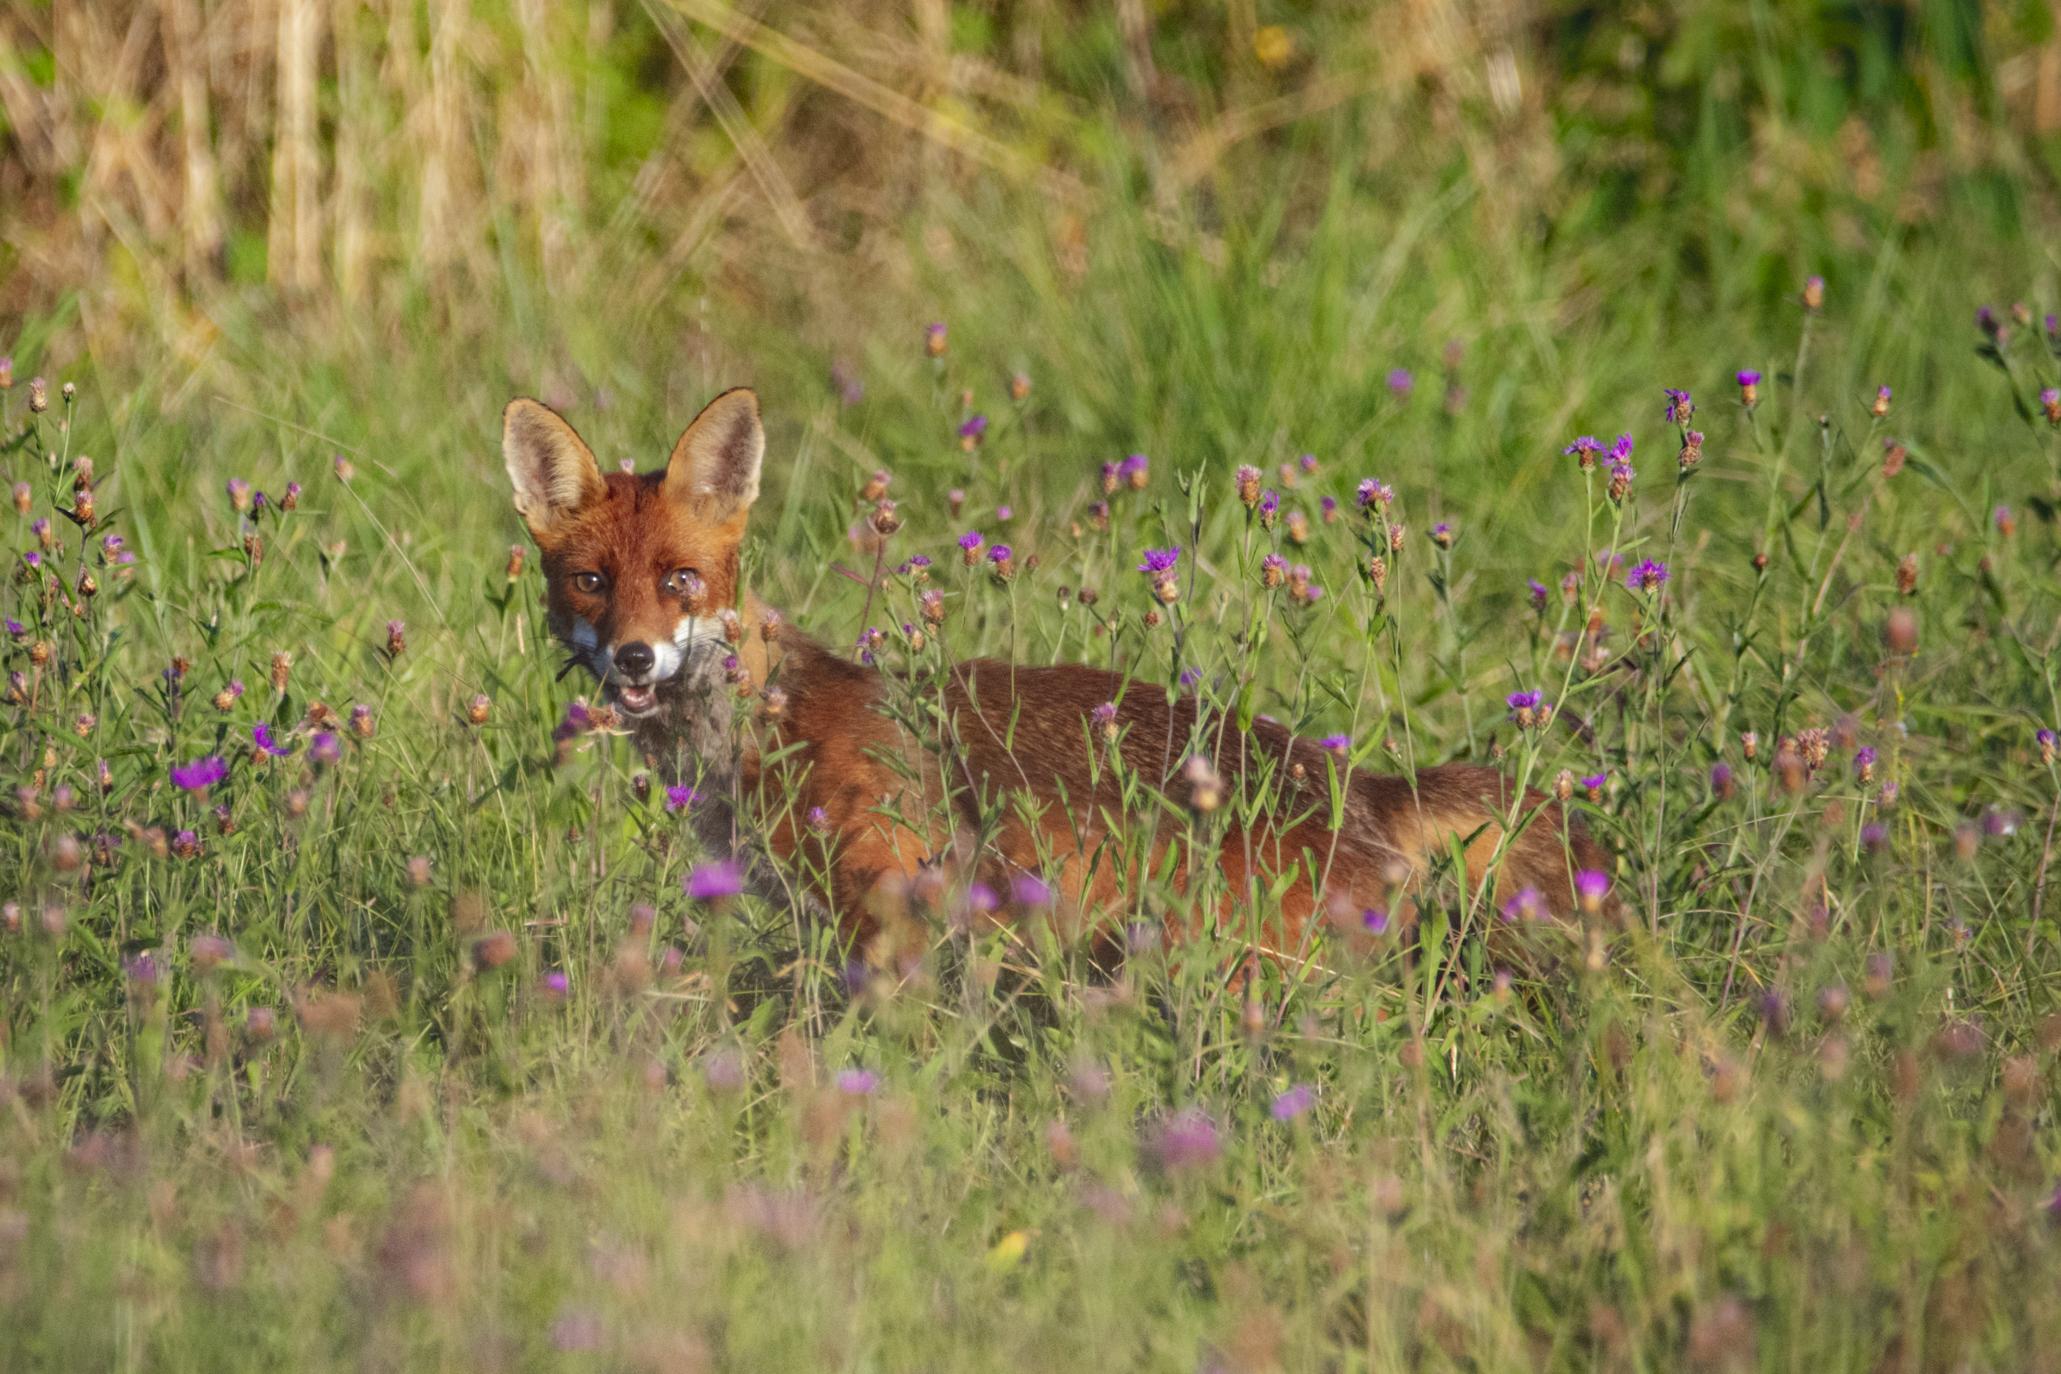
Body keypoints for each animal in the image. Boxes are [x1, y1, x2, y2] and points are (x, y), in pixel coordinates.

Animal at [507, 387, 1615, 968]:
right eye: (593, 582)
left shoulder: (894, 913)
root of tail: (1364, 782)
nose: (635, 658)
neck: (759, 729)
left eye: (679, 581)